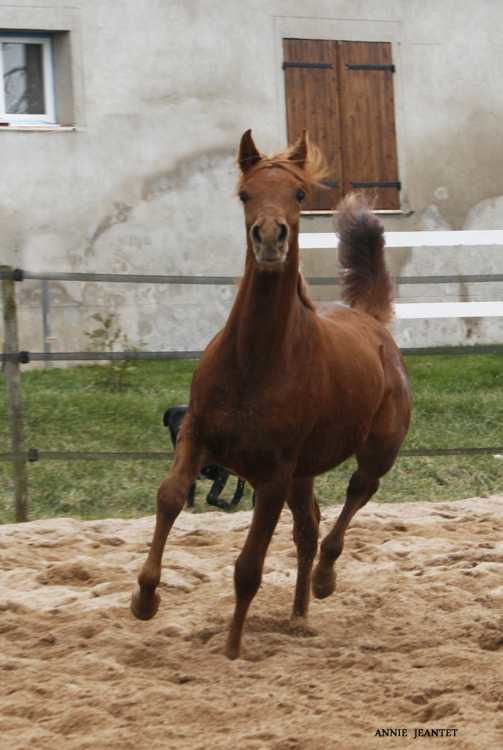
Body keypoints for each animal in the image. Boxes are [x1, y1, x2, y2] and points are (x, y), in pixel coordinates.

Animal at [131, 132, 414, 660]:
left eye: (300, 194)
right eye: (245, 194)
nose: (269, 238)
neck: (254, 362)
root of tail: (370, 322)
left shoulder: (273, 476)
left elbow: (248, 567)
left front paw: (231, 650)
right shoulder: (196, 435)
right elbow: (170, 497)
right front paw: (144, 598)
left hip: (373, 455)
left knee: (353, 500)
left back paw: (323, 581)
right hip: (305, 474)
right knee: (309, 528)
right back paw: (298, 615)